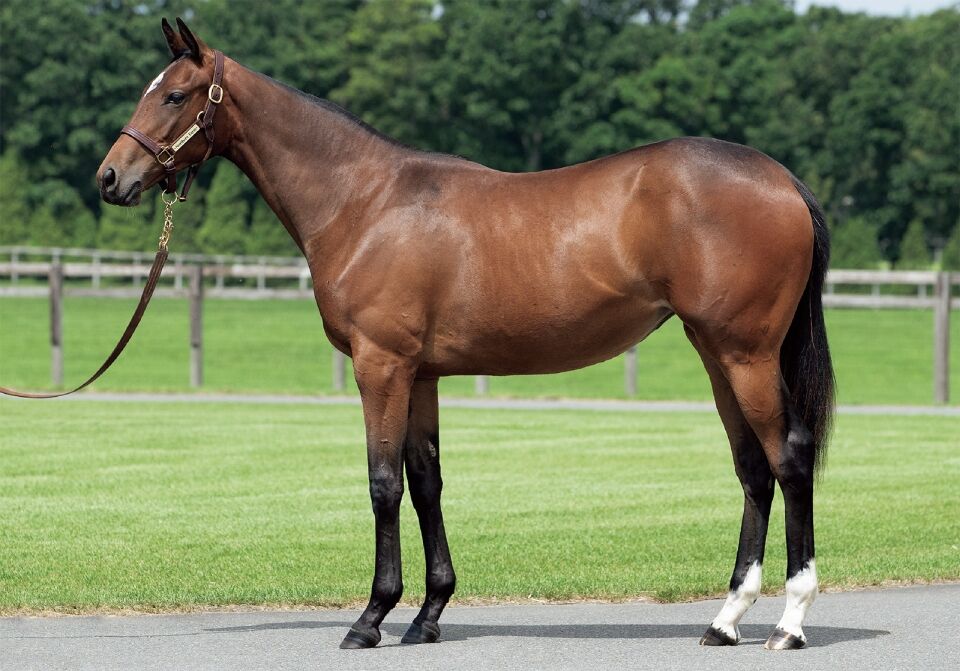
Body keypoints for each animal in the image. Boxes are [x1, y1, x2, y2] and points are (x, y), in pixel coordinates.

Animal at [97, 18, 834, 651]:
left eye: (175, 94)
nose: (110, 177)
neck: (364, 201)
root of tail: (783, 180)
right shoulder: (421, 373)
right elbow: (427, 481)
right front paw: (427, 614)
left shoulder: (381, 366)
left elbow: (383, 484)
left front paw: (371, 617)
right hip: (716, 354)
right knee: (752, 469)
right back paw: (725, 620)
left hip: (745, 354)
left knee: (789, 459)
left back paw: (789, 623)